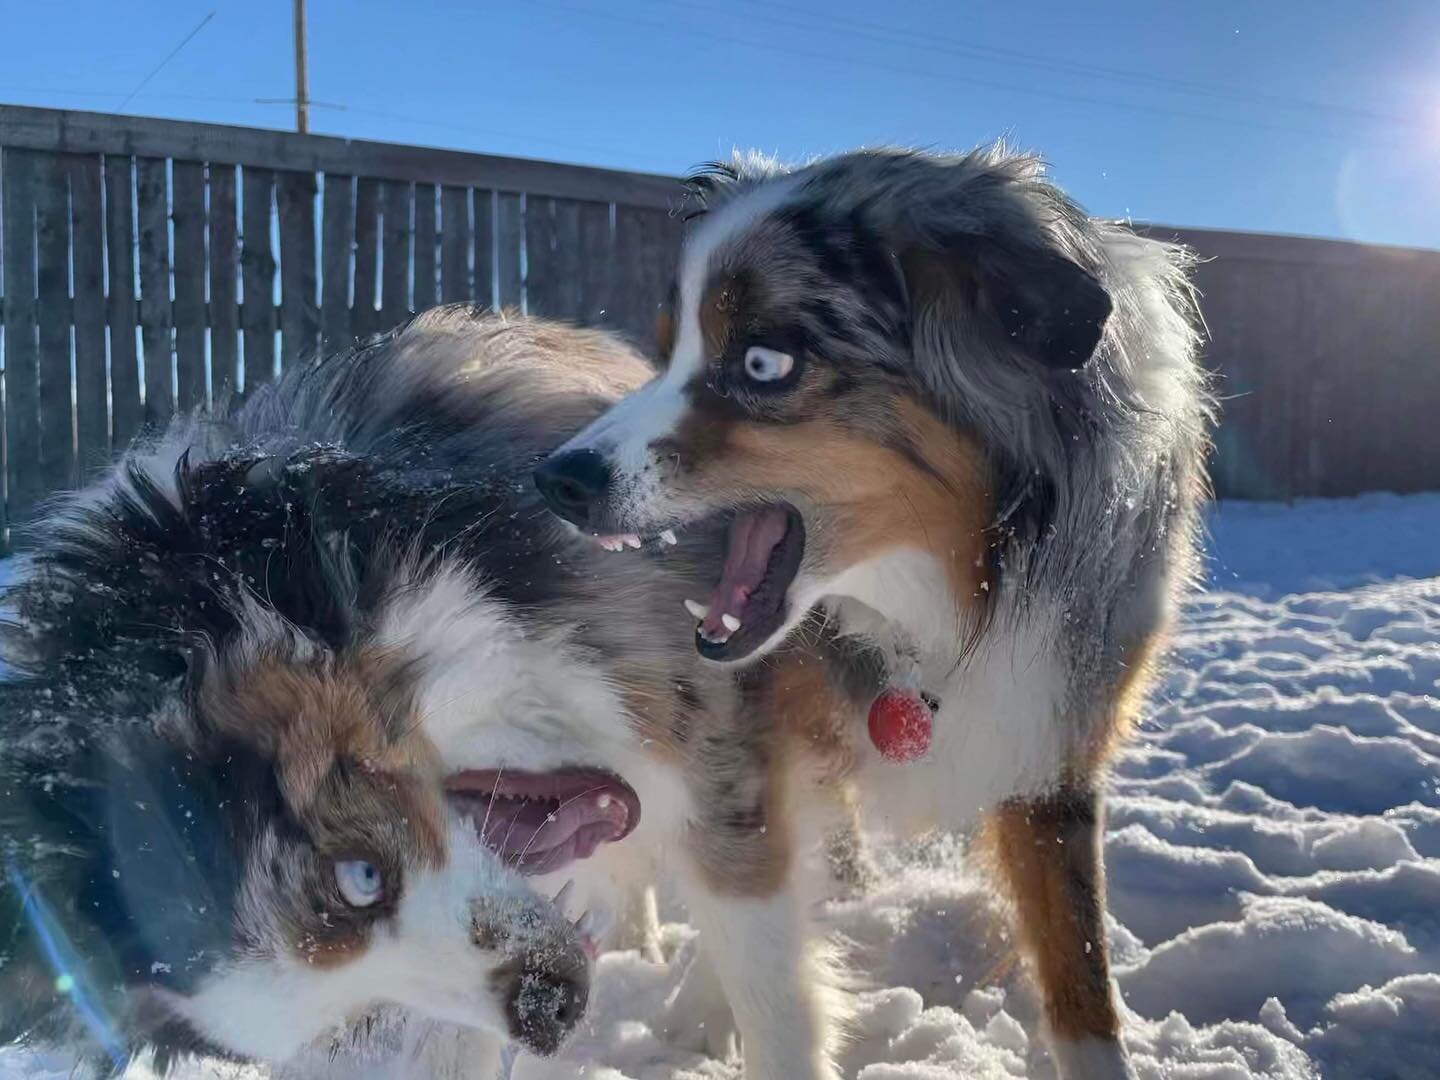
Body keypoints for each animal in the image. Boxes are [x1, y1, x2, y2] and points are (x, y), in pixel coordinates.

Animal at [535, 146, 1209, 1080]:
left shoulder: (1054, 743)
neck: (944, 606)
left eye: (764, 364)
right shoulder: (742, 743)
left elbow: (1081, 976)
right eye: (667, 352)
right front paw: (709, 1007)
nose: (555, 479)